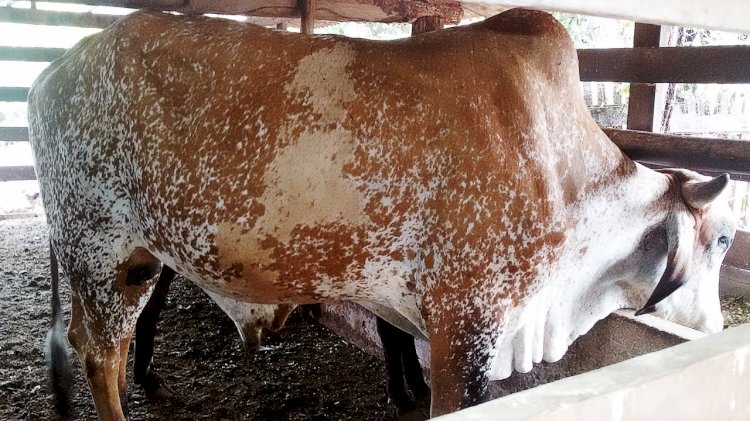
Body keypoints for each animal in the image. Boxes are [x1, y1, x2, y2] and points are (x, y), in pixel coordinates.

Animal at [28, 8, 735, 419]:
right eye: (726, 238)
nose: (717, 328)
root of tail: (52, 69)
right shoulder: (466, 323)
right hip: (98, 246)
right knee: (101, 355)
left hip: (135, 262)